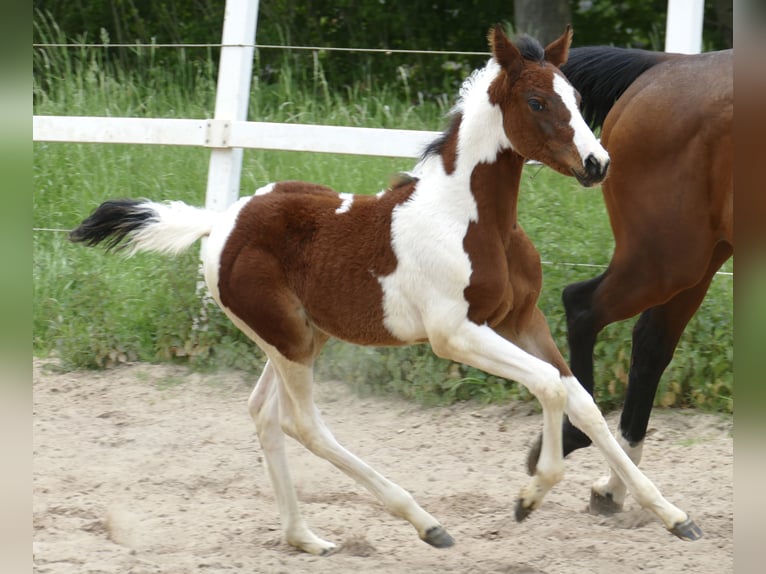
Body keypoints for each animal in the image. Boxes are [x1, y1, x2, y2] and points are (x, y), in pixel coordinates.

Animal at [70, 28, 704, 560]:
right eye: (537, 103)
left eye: (574, 95)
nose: (598, 164)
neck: (474, 220)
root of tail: (220, 221)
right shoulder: (455, 334)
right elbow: (550, 386)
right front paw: (529, 496)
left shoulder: (522, 319)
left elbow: (582, 401)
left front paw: (672, 515)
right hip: (287, 340)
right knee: (305, 425)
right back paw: (425, 523)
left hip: (302, 336)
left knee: (264, 414)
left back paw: (304, 537)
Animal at [528, 44, 736, 512]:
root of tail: (667, 63)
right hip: (668, 260)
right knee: (583, 306)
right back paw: (576, 438)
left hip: (699, 257)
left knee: (650, 343)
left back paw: (614, 485)